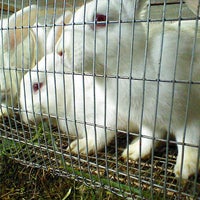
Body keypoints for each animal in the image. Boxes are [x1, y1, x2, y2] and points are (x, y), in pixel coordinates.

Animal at [55, 0, 200, 180]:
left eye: (100, 18)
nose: (59, 51)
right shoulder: (147, 118)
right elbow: (149, 136)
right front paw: (134, 152)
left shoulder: (190, 115)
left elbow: (189, 142)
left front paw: (185, 169)